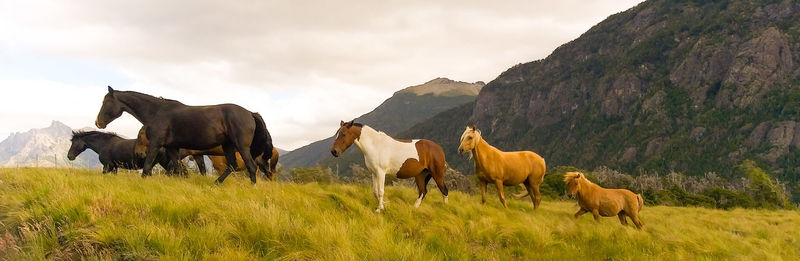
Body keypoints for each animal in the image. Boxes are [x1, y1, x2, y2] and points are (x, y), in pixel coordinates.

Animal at [94, 86, 272, 183]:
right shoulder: (172, 148)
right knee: (232, 166)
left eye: (105, 102)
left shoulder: (155, 144)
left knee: (251, 167)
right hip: (227, 145)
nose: (98, 123)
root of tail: (250, 113)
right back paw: (215, 183)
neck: (156, 112)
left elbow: (147, 167)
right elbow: (181, 170)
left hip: (241, 146)